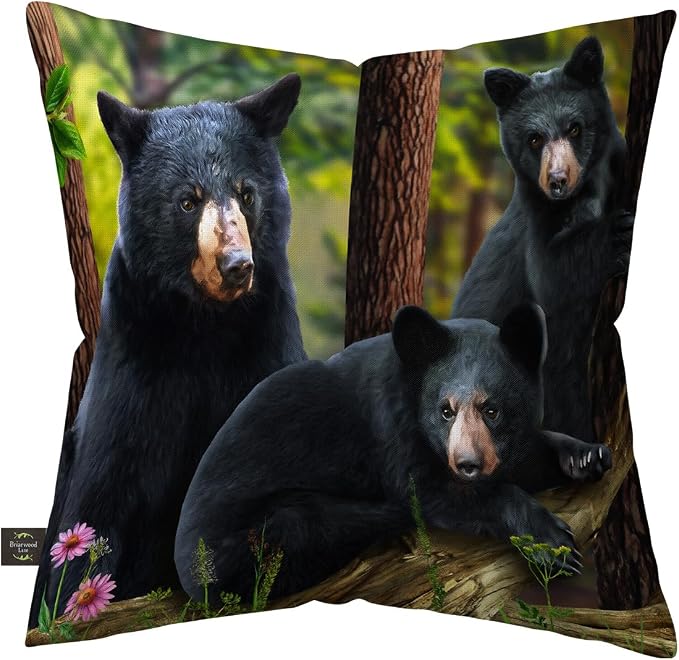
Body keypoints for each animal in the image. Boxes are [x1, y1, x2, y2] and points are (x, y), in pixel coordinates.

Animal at [29, 74, 306, 627]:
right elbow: (97, 507)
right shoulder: (134, 366)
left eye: (246, 193)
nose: (237, 265)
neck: (205, 326)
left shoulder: (267, 344)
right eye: (187, 201)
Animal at [174, 304, 611, 604]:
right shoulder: (391, 425)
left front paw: (586, 456)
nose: (467, 465)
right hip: (251, 541)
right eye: (445, 410)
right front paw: (553, 543)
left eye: (492, 409)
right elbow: (427, 491)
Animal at [452, 37, 632, 446]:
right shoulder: (534, 220)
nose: (558, 180)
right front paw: (618, 232)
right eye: (534, 138)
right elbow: (554, 275)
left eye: (575, 128)